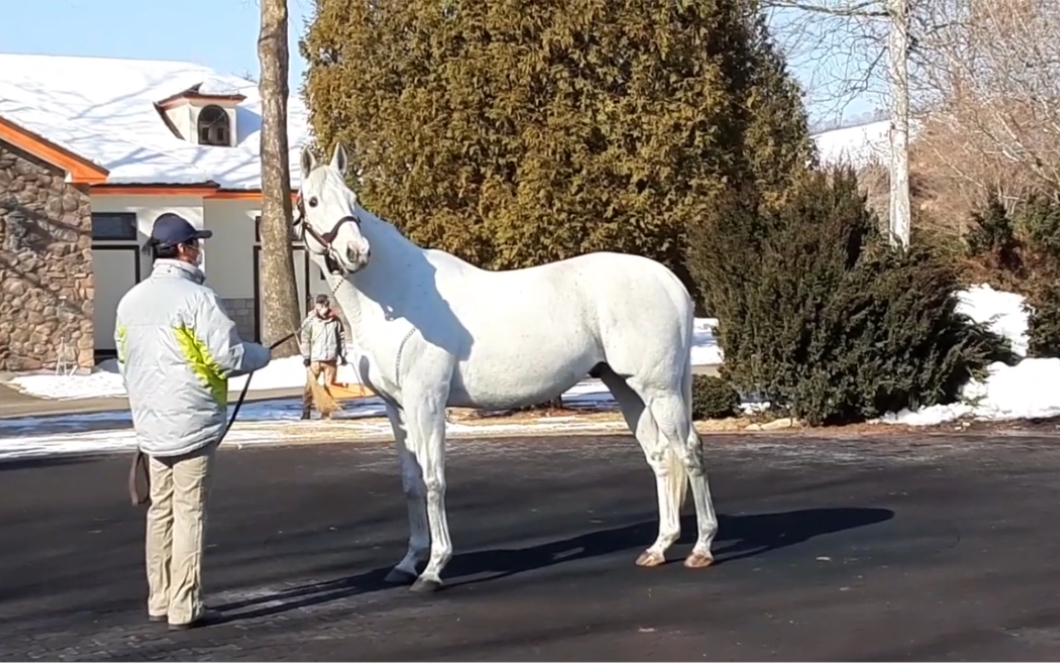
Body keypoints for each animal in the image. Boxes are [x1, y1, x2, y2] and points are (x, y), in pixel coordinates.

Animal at [294, 143, 716, 589]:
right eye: (314, 200)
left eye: (353, 199)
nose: (356, 253)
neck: (401, 294)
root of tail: (669, 282)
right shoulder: (397, 408)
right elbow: (411, 483)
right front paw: (407, 563)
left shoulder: (427, 402)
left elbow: (433, 479)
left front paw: (433, 568)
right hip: (626, 386)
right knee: (660, 456)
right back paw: (659, 548)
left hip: (660, 388)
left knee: (689, 450)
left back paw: (702, 549)